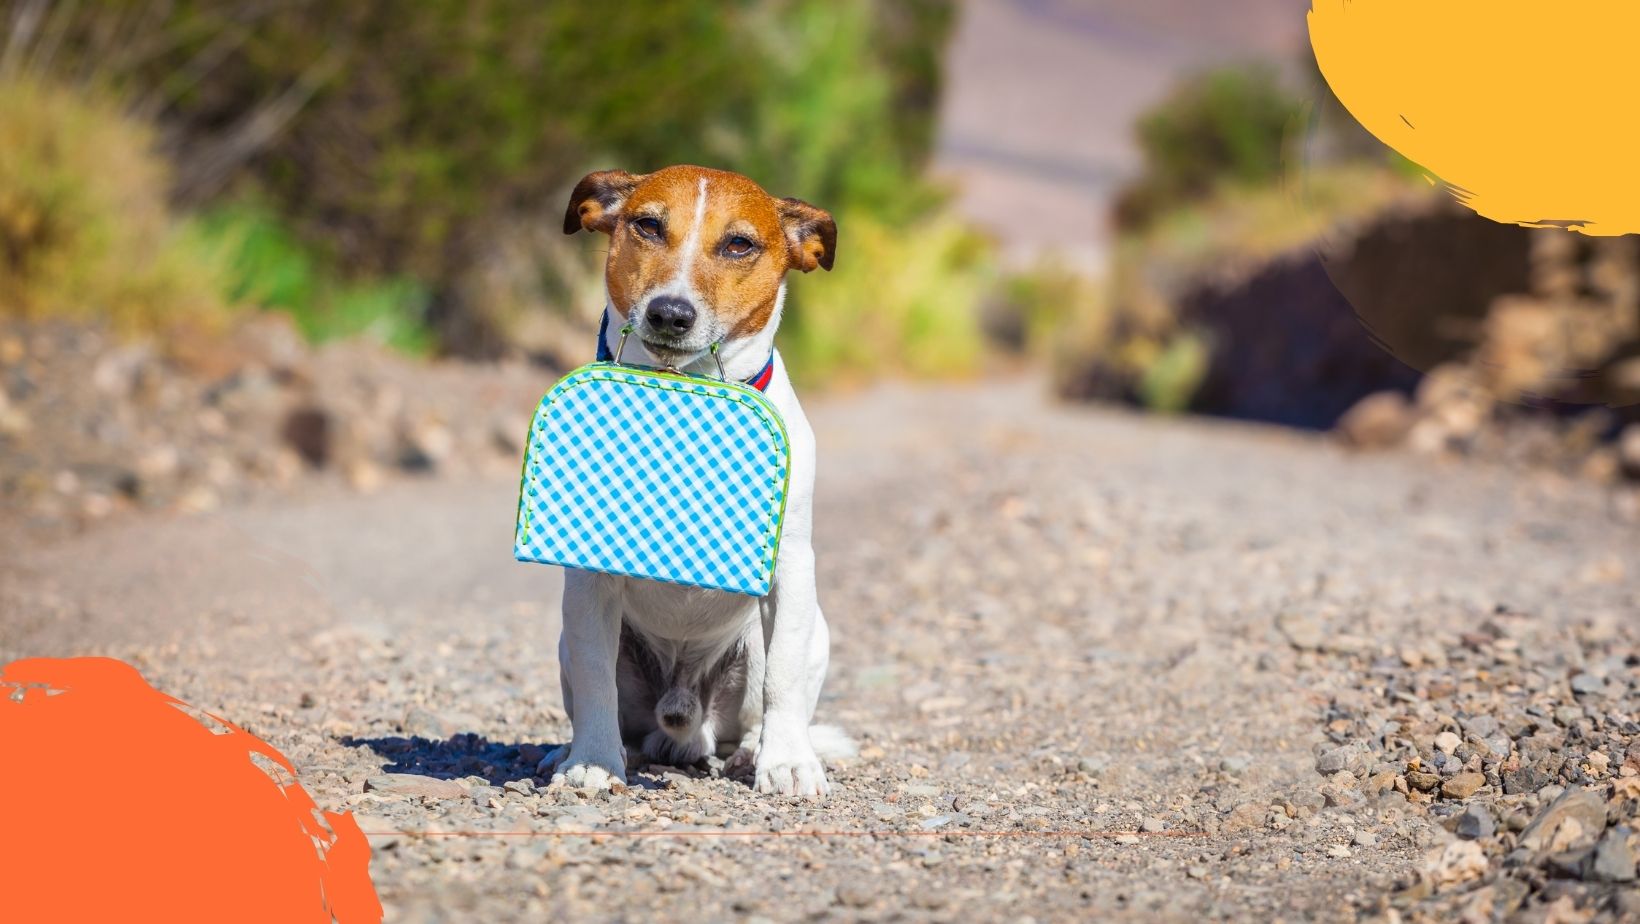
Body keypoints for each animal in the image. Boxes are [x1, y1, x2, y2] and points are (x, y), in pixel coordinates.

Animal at [541, 164, 852, 794]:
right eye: (647, 225)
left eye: (739, 244)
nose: (670, 312)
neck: (683, 394)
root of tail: (684, 725)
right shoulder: (587, 582)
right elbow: (593, 676)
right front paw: (592, 760)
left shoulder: (790, 565)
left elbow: (782, 677)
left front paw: (786, 763)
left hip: (798, 637)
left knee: (760, 705)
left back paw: (752, 752)